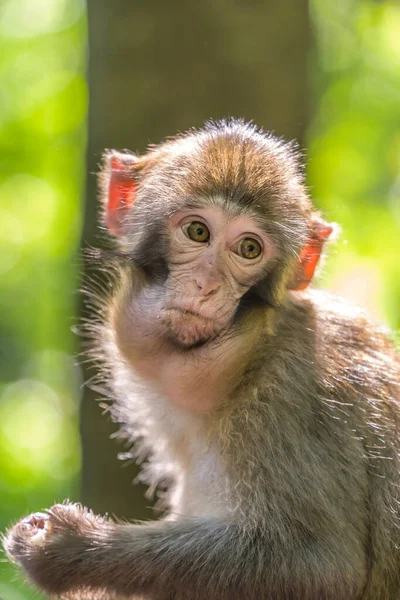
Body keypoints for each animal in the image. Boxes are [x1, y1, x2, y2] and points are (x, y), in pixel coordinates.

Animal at [3, 118, 400, 600]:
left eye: (249, 249)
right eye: (197, 232)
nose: (207, 285)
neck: (246, 357)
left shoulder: (295, 399)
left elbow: (323, 566)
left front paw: (71, 549)